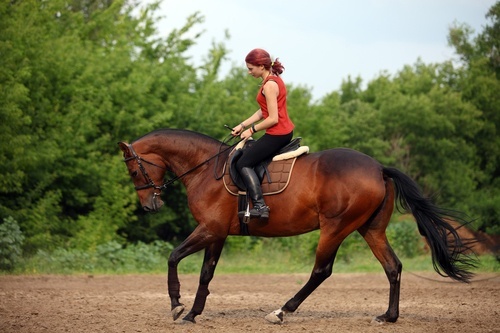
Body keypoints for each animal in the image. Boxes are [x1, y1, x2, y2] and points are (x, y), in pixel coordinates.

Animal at [118, 127, 476, 324]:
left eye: (134, 171)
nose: (150, 205)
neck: (207, 169)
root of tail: (378, 168)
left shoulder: (209, 229)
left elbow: (173, 257)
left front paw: (177, 306)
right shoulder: (217, 233)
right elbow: (206, 273)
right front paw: (193, 313)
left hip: (335, 228)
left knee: (322, 271)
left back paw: (282, 311)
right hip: (370, 230)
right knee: (393, 267)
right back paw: (389, 316)